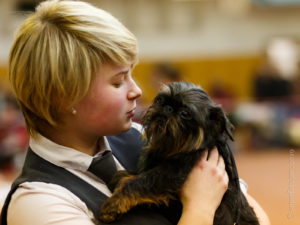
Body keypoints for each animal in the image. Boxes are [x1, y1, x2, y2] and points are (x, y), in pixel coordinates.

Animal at [99, 82, 258, 225]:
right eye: (160, 100)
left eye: (185, 114)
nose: (167, 107)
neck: (170, 148)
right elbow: (133, 175)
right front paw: (120, 177)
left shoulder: (171, 173)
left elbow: (140, 181)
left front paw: (114, 204)